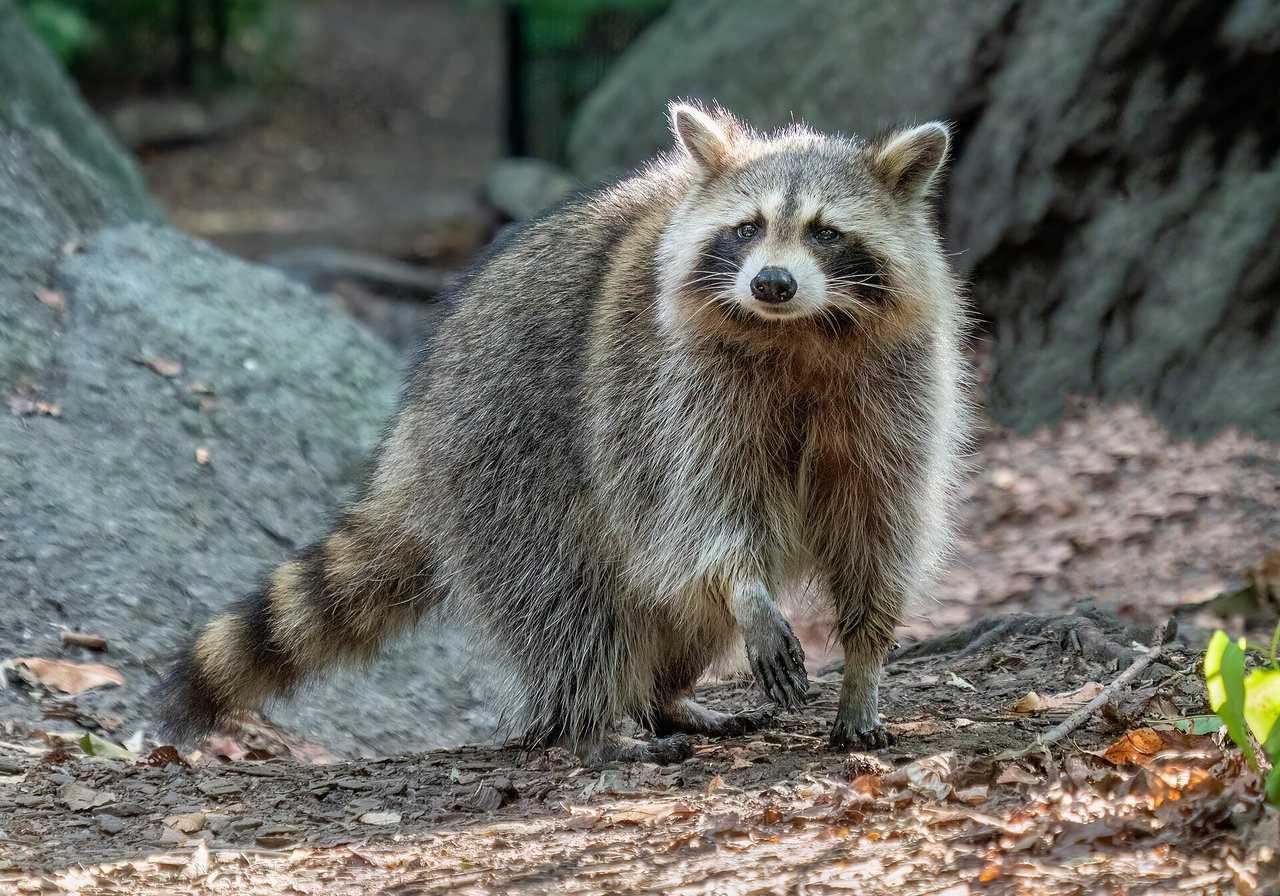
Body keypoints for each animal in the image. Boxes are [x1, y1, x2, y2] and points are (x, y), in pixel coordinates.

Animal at [159, 101, 970, 763]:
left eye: (826, 233)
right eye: (747, 229)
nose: (772, 283)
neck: (800, 332)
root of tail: (413, 431)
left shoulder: (896, 388)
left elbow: (879, 523)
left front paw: (865, 662)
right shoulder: (672, 387)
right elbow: (704, 509)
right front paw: (749, 592)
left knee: (672, 607)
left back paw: (666, 696)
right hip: (506, 455)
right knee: (569, 596)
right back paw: (594, 720)